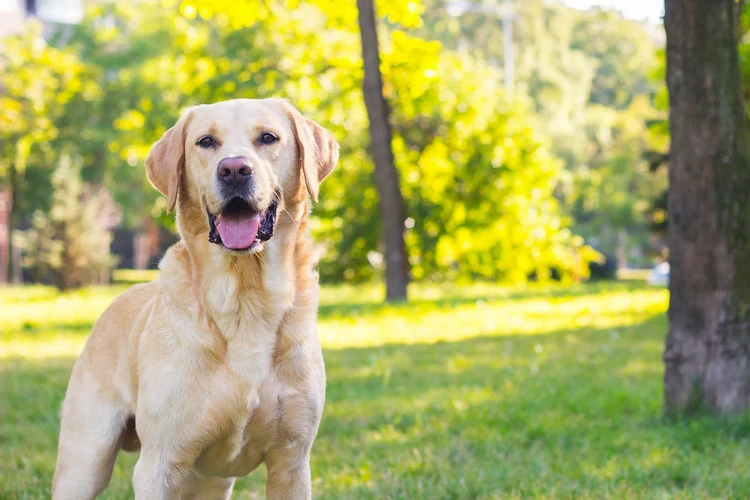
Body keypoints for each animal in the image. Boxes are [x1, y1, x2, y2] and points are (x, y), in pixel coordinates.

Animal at [50, 98, 338, 500]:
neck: (244, 296)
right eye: (206, 142)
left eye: (268, 138)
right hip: (86, 460)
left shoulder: (292, 463)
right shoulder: (158, 466)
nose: (234, 170)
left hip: (209, 482)